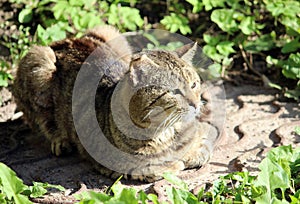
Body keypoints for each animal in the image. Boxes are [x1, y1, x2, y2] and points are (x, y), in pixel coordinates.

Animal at [13, 25, 218, 182]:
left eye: (194, 84)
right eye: (175, 91)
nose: (196, 103)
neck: (167, 131)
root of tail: (61, 42)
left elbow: (203, 148)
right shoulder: (121, 164)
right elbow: (162, 167)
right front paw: (177, 162)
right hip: (37, 59)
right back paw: (60, 140)